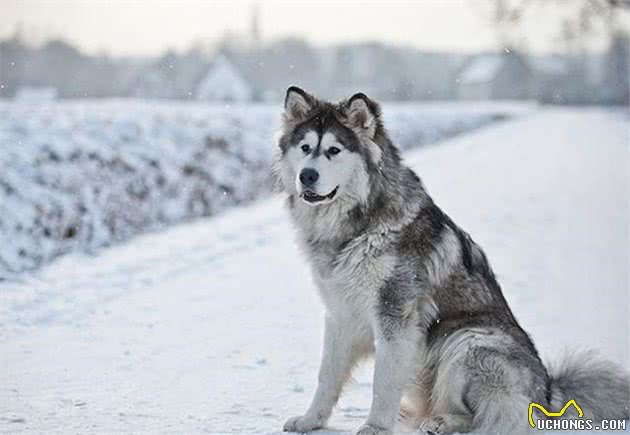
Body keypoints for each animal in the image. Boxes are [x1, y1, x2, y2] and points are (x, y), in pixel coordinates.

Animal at [272, 87, 630, 434]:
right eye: (305, 147)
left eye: (334, 150)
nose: (307, 176)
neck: (358, 224)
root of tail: (547, 393)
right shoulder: (340, 314)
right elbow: (326, 376)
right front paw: (311, 421)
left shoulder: (396, 315)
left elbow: (383, 381)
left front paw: (375, 426)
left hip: (467, 342)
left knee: (486, 417)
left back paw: (442, 422)